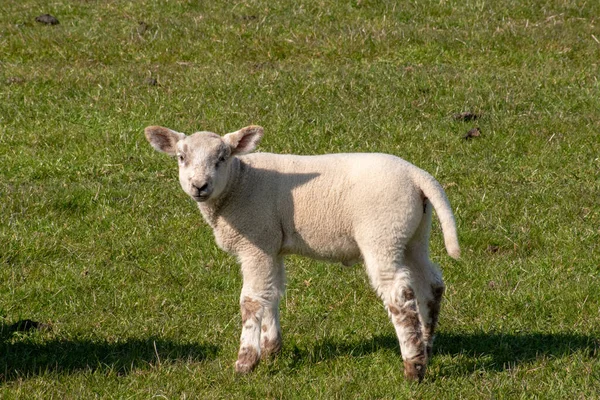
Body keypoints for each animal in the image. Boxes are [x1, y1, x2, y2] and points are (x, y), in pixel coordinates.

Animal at [144, 125, 460, 382]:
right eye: (181, 158)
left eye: (222, 158)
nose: (199, 186)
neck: (240, 182)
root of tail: (417, 175)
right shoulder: (270, 245)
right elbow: (270, 294)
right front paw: (271, 351)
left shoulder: (255, 243)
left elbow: (251, 301)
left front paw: (245, 363)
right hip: (413, 234)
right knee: (431, 284)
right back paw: (426, 346)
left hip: (382, 233)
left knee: (399, 295)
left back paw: (413, 368)